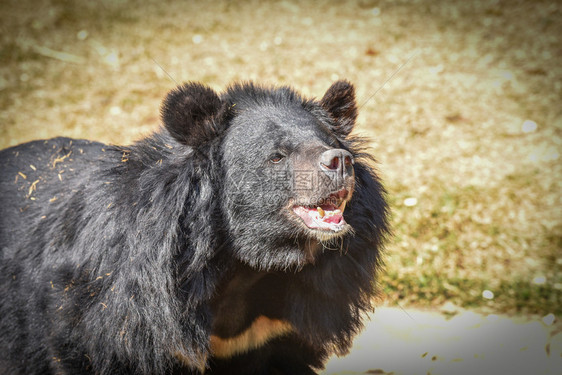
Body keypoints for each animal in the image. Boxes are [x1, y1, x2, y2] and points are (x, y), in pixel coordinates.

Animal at [0, 81, 388, 374]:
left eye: (329, 143)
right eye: (277, 156)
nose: (340, 162)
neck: (245, 266)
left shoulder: (284, 327)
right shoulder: (120, 317)